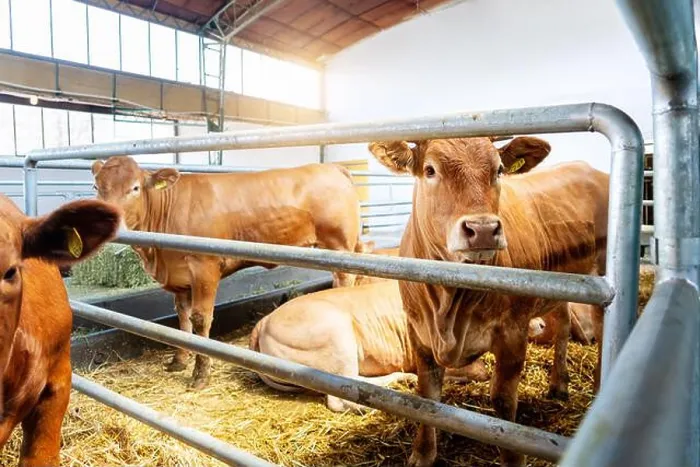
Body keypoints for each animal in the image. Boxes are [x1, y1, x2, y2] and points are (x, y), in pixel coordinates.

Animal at [91, 157, 362, 389]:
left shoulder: (204, 267)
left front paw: (200, 374)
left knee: (344, 279)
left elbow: (200, 319)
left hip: (338, 244)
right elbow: (182, 317)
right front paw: (179, 360)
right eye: (96, 187)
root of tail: (332, 167)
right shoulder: (180, 279)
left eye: (135, 188)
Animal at [249, 280, 491, 413]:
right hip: (338, 334)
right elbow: (480, 371)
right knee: (338, 397)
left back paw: (400, 380)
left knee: (356, 381)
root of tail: (264, 321)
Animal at [367, 136, 608, 467]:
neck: (450, 307)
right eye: (430, 170)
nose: (482, 229)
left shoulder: (513, 333)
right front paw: (423, 453)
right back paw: (558, 384)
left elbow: (503, 402)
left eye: (499, 169)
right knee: (562, 325)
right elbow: (427, 394)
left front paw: (513, 457)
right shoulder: (419, 332)